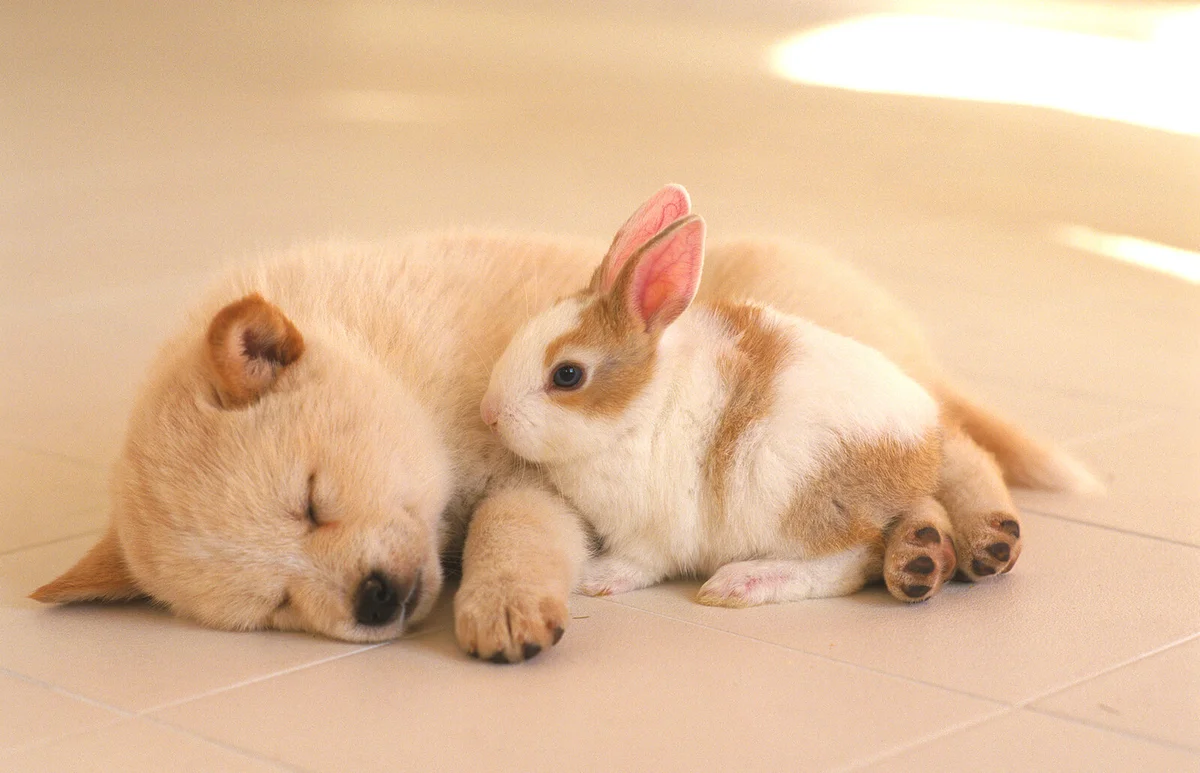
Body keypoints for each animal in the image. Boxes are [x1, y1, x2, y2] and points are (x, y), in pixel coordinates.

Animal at [481, 185, 960, 606]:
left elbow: (639, 564)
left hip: (794, 501)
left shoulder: (652, 533)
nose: (490, 415)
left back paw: (739, 584)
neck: (640, 409)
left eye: (567, 375)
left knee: (850, 561)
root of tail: (925, 449)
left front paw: (594, 579)